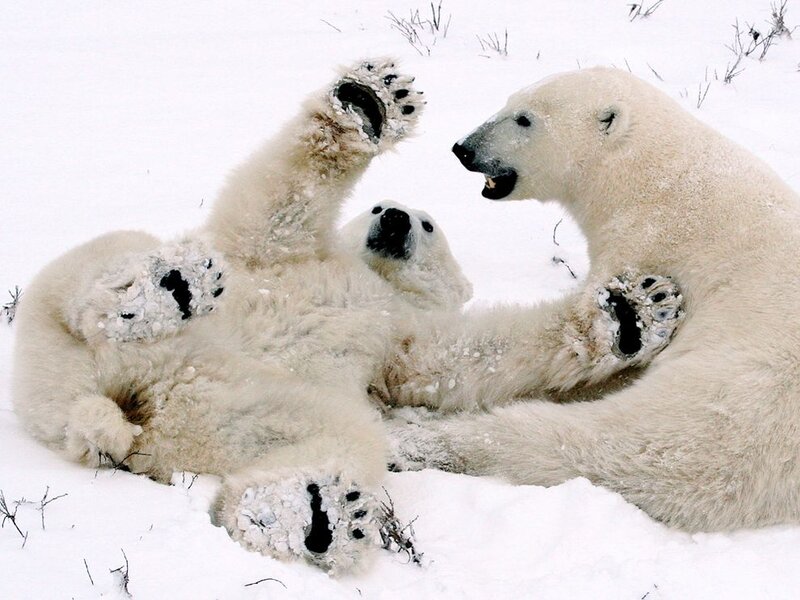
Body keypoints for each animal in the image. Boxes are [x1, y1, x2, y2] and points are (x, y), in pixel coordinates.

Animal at [12, 58, 470, 572]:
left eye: (428, 224)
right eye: (376, 205)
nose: (394, 219)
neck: (376, 281)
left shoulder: (399, 337)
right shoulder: (289, 260)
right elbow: (280, 207)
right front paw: (372, 100)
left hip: (231, 403)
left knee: (330, 435)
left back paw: (311, 516)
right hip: (62, 324)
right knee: (95, 268)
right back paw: (164, 291)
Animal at [384, 66, 800, 533]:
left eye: (524, 119)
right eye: (509, 101)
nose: (464, 148)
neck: (647, 172)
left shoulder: (652, 238)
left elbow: (576, 325)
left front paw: (630, 319)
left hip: (732, 398)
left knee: (598, 444)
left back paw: (419, 439)